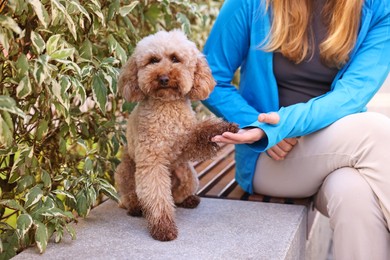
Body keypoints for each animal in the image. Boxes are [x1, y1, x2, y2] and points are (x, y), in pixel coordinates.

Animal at [114, 30, 239, 242]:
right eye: (153, 60)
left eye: (175, 58)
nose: (163, 78)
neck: (167, 106)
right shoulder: (152, 161)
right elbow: (157, 196)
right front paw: (163, 228)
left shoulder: (185, 143)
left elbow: (200, 132)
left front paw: (221, 127)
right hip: (126, 171)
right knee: (132, 197)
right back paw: (135, 207)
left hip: (188, 174)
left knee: (177, 196)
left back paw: (188, 199)